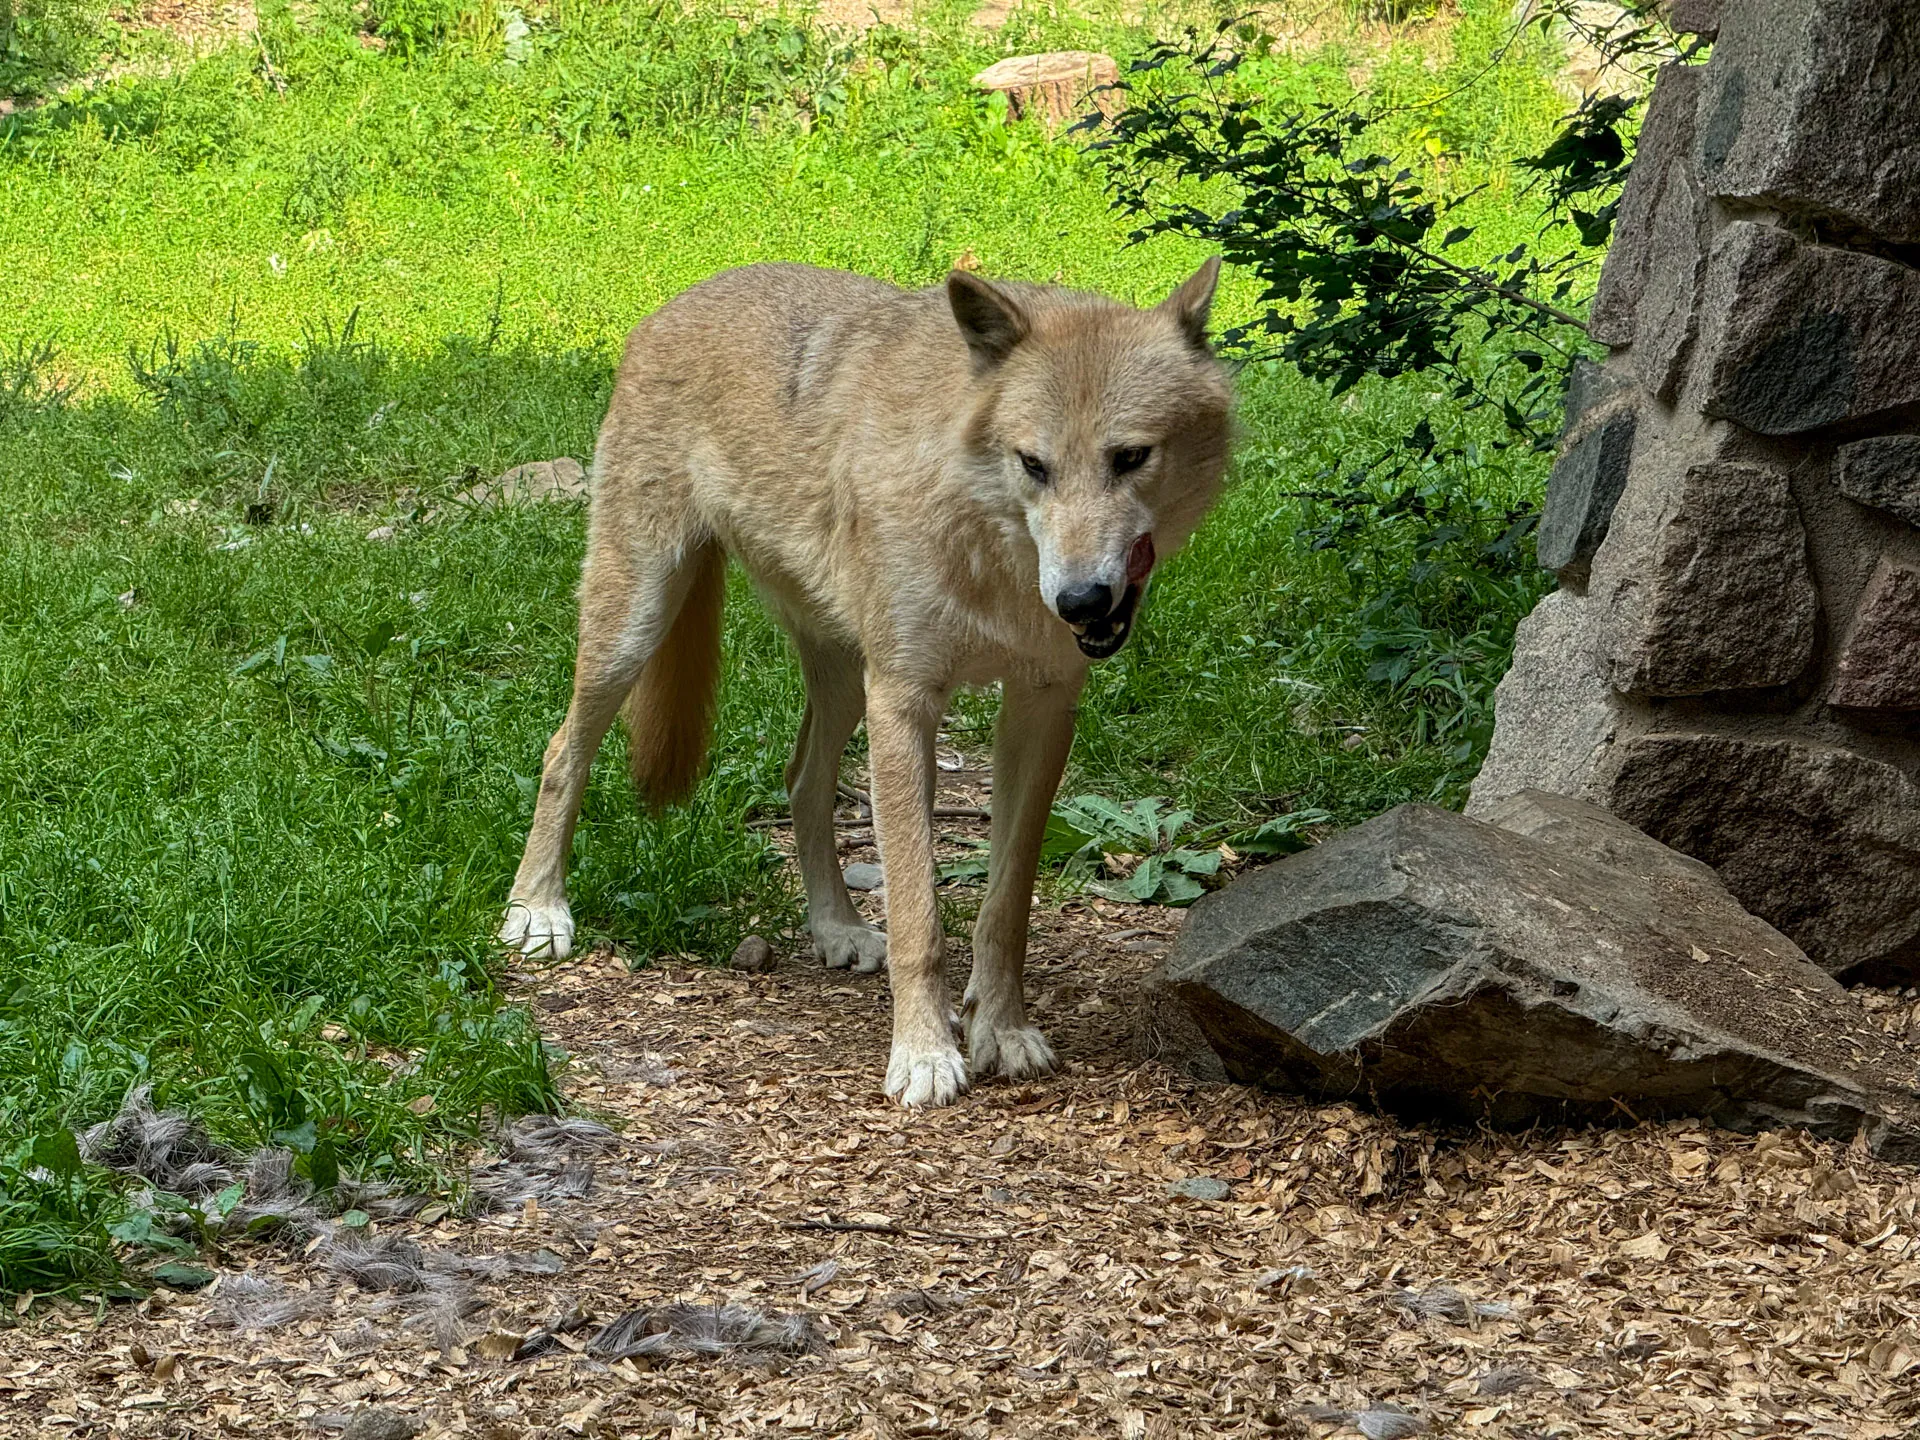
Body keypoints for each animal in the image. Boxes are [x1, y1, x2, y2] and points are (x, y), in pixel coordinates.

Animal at [500, 258, 1233, 1107]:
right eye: (1034, 465)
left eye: (1130, 458)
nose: (1080, 600)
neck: (989, 541)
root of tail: (671, 303)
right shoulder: (905, 701)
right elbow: (920, 912)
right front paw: (924, 1056)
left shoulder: (1041, 707)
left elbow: (1005, 904)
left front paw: (1001, 1030)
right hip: (636, 628)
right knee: (562, 751)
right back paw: (537, 910)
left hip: (843, 680)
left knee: (801, 780)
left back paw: (838, 929)